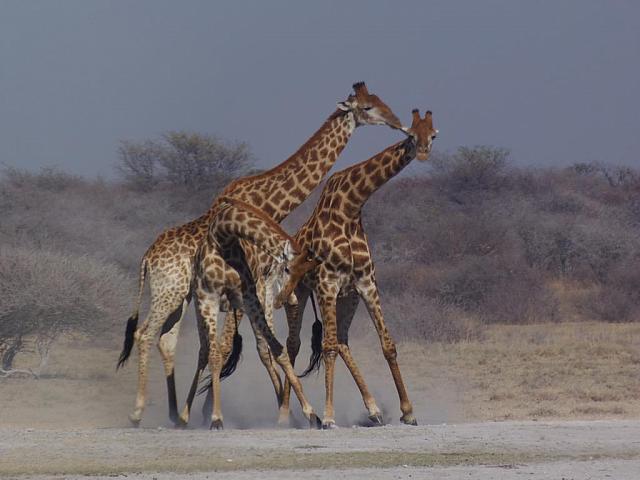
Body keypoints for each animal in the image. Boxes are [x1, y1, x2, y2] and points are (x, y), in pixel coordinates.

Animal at [117, 82, 402, 428]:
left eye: (380, 100)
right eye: (367, 108)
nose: (397, 122)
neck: (267, 203)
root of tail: (147, 258)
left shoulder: (254, 289)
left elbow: (253, 346)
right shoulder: (251, 287)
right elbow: (239, 346)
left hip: (178, 298)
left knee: (166, 339)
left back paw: (175, 413)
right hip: (168, 292)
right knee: (145, 334)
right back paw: (138, 412)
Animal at [274, 109, 436, 428]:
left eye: (433, 134)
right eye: (411, 134)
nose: (423, 152)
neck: (350, 207)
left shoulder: (365, 283)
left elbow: (387, 344)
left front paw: (408, 411)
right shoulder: (327, 282)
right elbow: (327, 347)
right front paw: (328, 417)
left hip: (346, 298)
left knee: (343, 341)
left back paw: (373, 409)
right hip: (299, 295)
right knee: (294, 343)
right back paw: (286, 415)